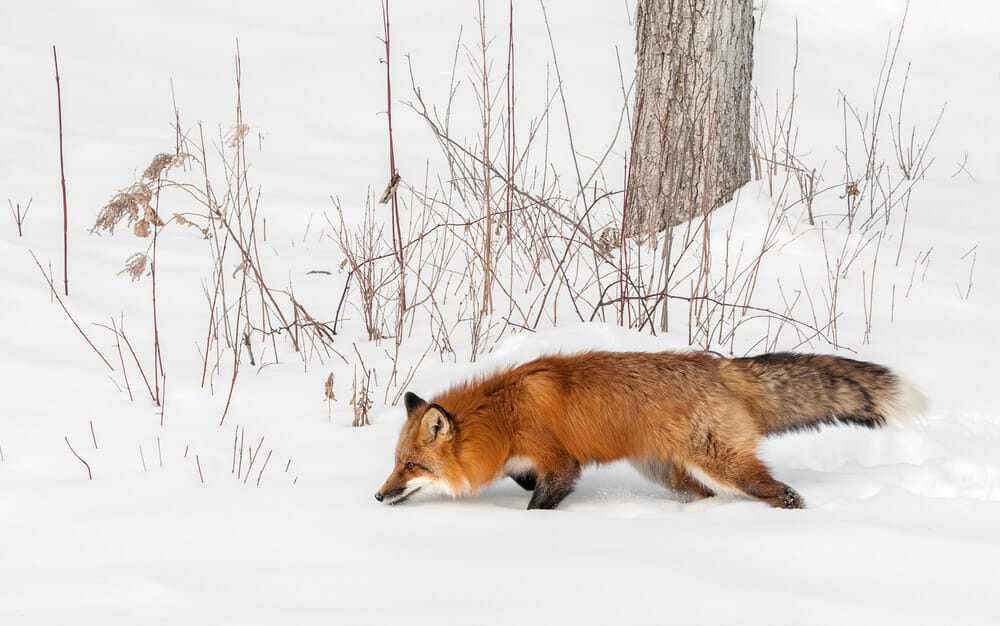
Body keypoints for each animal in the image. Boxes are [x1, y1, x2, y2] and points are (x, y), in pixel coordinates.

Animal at [374, 348, 920, 510]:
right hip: (667, 473)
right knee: (706, 497)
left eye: (411, 466)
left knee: (784, 493)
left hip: (723, 463)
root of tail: (719, 365)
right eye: (395, 463)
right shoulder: (528, 463)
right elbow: (524, 480)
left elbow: (540, 502)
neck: (503, 418)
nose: (378, 496)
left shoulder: (561, 462)